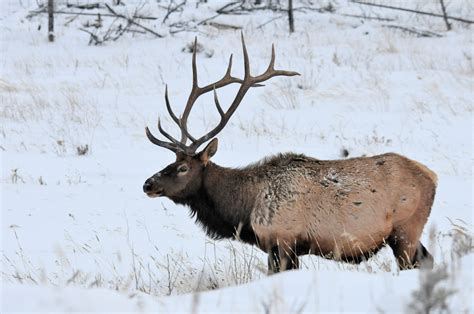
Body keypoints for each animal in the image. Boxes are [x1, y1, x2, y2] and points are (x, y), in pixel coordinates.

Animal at [144, 35, 436, 272]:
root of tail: (432, 176)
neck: (244, 210)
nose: (148, 183)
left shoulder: (284, 240)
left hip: (406, 229)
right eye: (171, 162)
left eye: (183, 168)